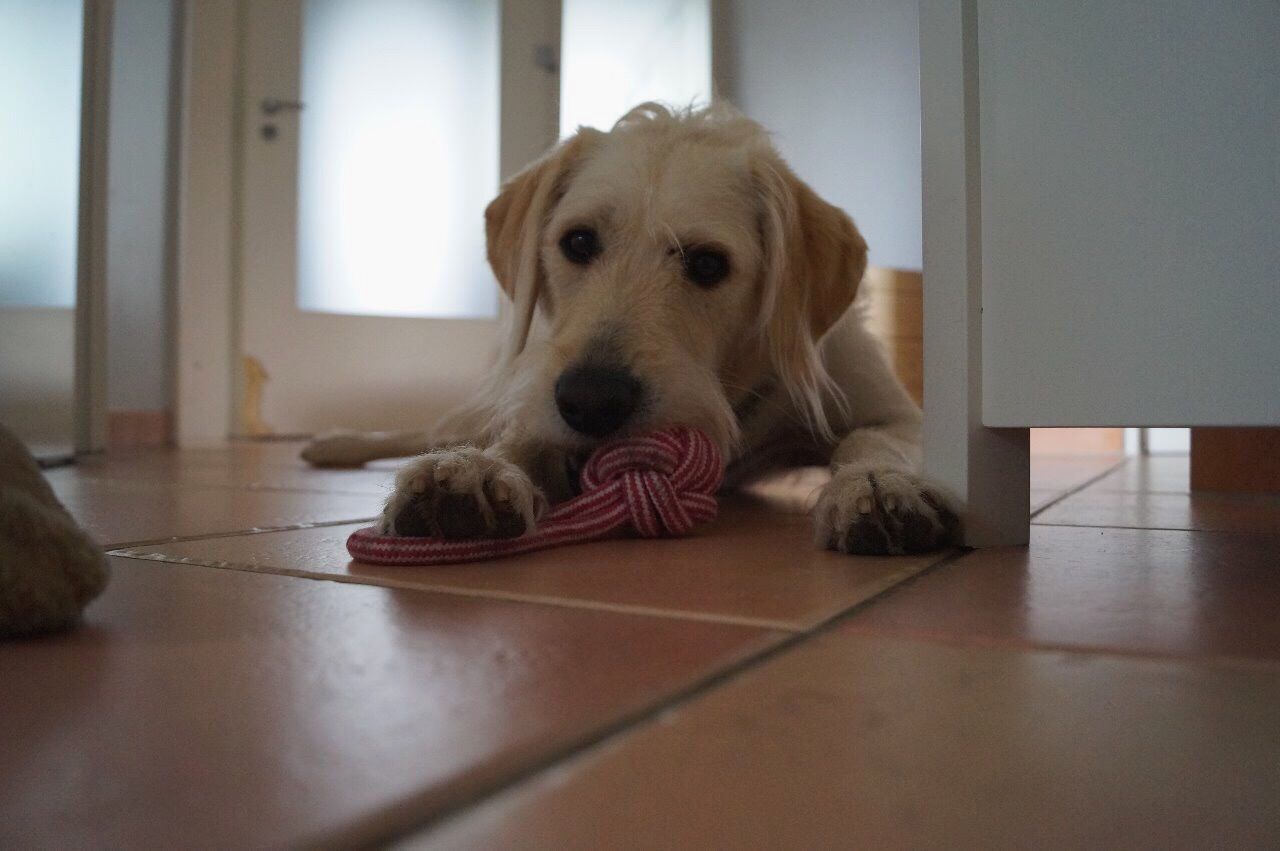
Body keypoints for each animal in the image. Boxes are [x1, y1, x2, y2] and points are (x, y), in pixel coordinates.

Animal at [304, 103, 957, 555]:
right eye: (578, 242)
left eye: (707, 264)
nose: (591, 401)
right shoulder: (540, 406)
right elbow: (520, 439)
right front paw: (476, 472)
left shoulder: (896, 414)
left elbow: (866, 440)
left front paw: (875, 482)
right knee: (429, 430)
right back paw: (340, 443)